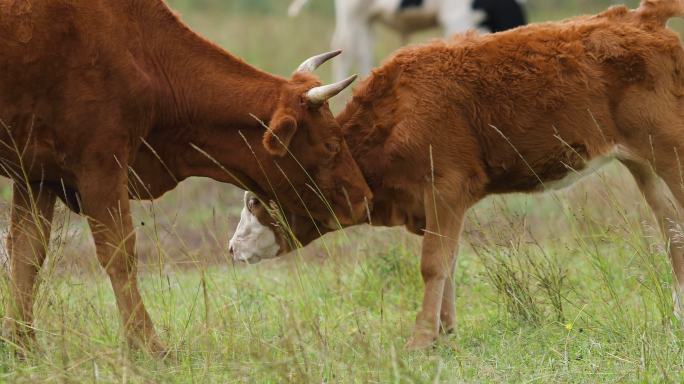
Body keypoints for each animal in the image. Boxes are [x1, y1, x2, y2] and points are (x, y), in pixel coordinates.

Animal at [0, 0, 374, 354]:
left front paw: (22, 344)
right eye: (331, 145)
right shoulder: (101, 164)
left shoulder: (38, 175)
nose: (364, 197)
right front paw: (148, 345)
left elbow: (27, 254)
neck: (138, 48)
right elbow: (119, 254)